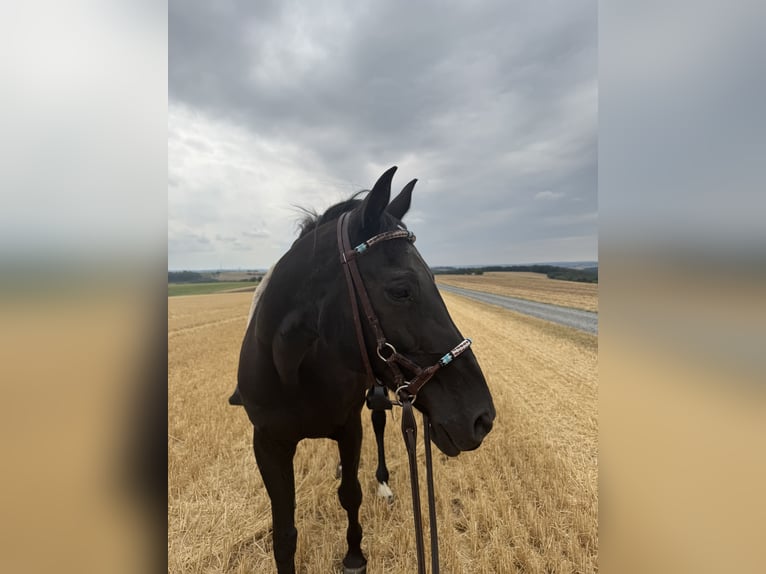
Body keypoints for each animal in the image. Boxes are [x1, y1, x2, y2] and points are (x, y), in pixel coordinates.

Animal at [232, 166, 495, 573]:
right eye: (400, 289)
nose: (482, 418)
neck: (293, 371)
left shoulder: (349, 427)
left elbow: (350, 495)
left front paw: (354, 555)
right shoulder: (268, 443)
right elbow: (284, 532)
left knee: (379, 425)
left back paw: (382, 483)